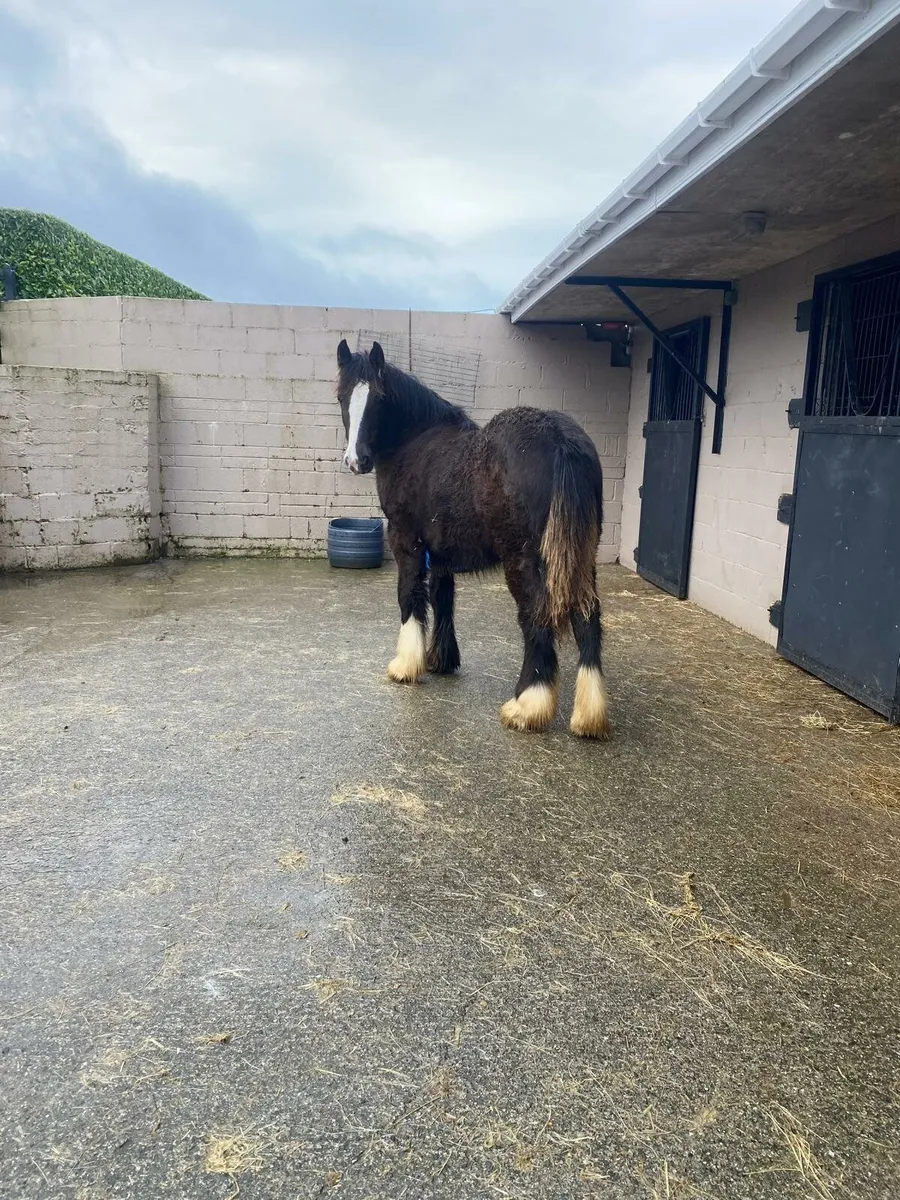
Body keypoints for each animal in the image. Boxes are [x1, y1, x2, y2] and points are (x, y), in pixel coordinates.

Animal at [335, 339, 610, 739]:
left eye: (379, 399)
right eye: (342, 396)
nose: (357, 461)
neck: (416, 442)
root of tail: (560, 439)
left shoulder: (406, 541)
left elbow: (409, 596)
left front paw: (406, 666)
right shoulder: (441, 553)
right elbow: (442, 598)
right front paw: (440, 660)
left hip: (525, 561)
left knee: (536, 618)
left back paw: (527, 706)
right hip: (581, 557)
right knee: (587, 618)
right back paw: (589, 716)